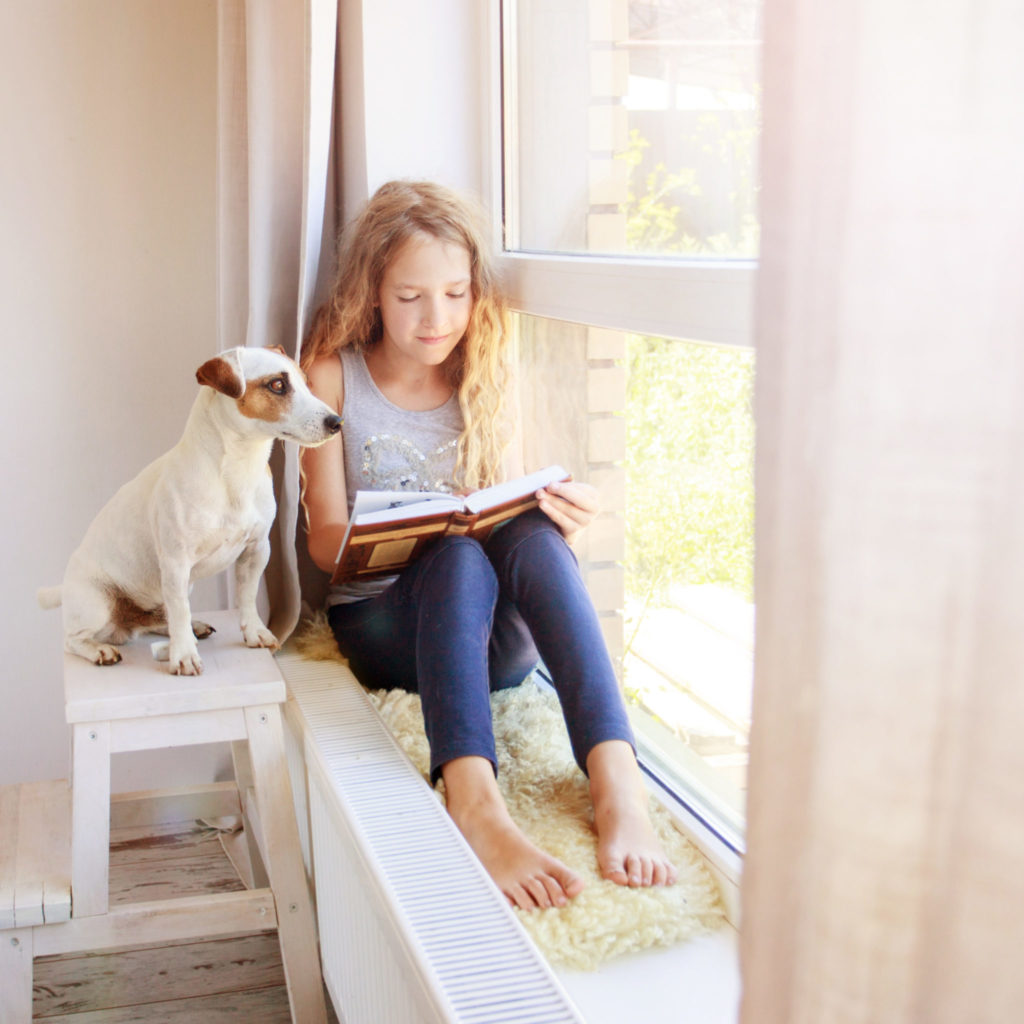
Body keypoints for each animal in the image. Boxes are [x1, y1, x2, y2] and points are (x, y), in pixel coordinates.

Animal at [39, 348, 339, 675]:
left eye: (306, 382)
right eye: (277, 385)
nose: (337, 422)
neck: (237, 471)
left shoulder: (256, 550)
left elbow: (246, 597)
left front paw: (254, 632)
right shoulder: (175, 561)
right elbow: (180, 610)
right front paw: (183, 656)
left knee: (159, 619)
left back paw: (188, 628)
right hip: (98, 604)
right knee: (74, 640)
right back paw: (99, 650)